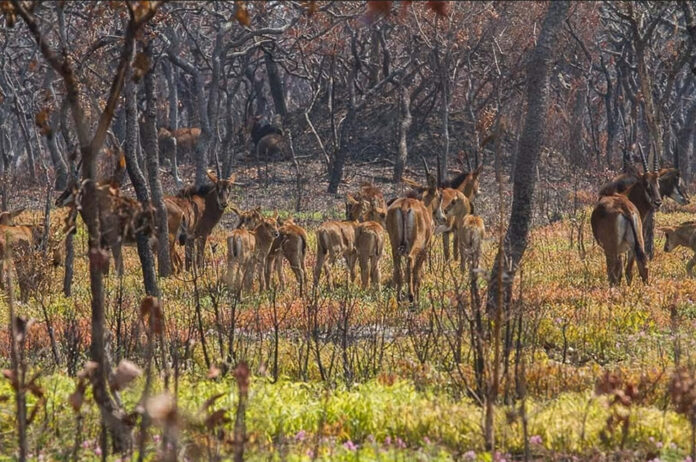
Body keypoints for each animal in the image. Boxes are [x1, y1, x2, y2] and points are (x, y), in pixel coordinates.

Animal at [386, 162, 446, 304]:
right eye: (440, 196)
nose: (443, 217)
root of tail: (404, 206)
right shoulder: (425, 248)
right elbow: (418, 272)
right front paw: (418, 298)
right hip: (416, 244)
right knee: (410, 261)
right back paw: (411, 296)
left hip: (394, 244)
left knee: (398, 268)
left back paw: (399, 298)